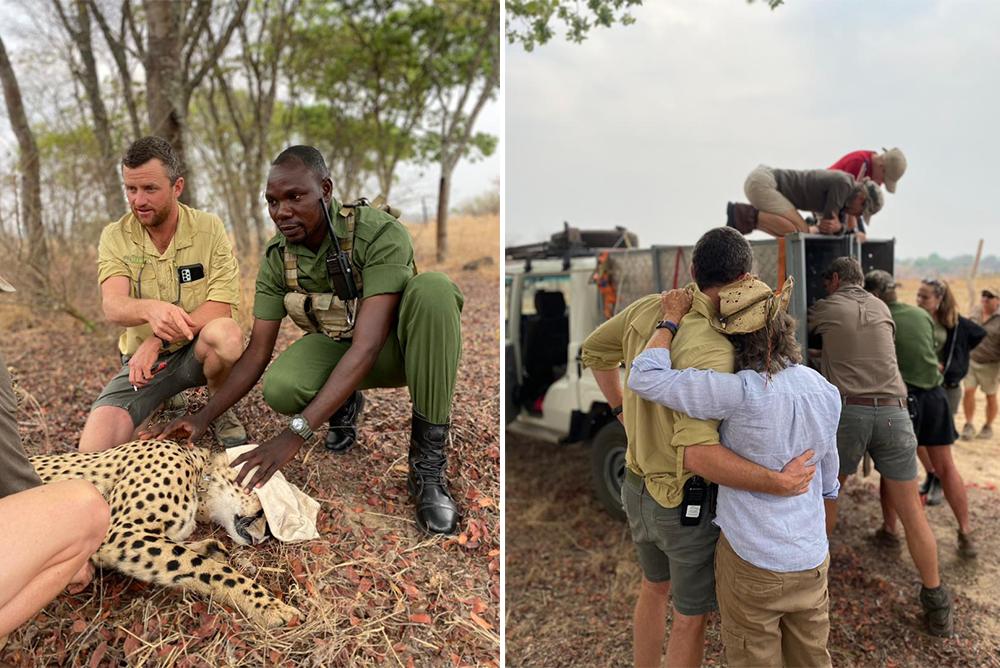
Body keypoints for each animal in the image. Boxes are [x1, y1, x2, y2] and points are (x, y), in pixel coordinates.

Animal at [30, 438, 300, 628]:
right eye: (262, 512)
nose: (264, 536)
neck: (199, 475)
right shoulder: (121, 531)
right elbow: (208, 568)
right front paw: (267, 605)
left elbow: (182, 554)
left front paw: (208, 547)